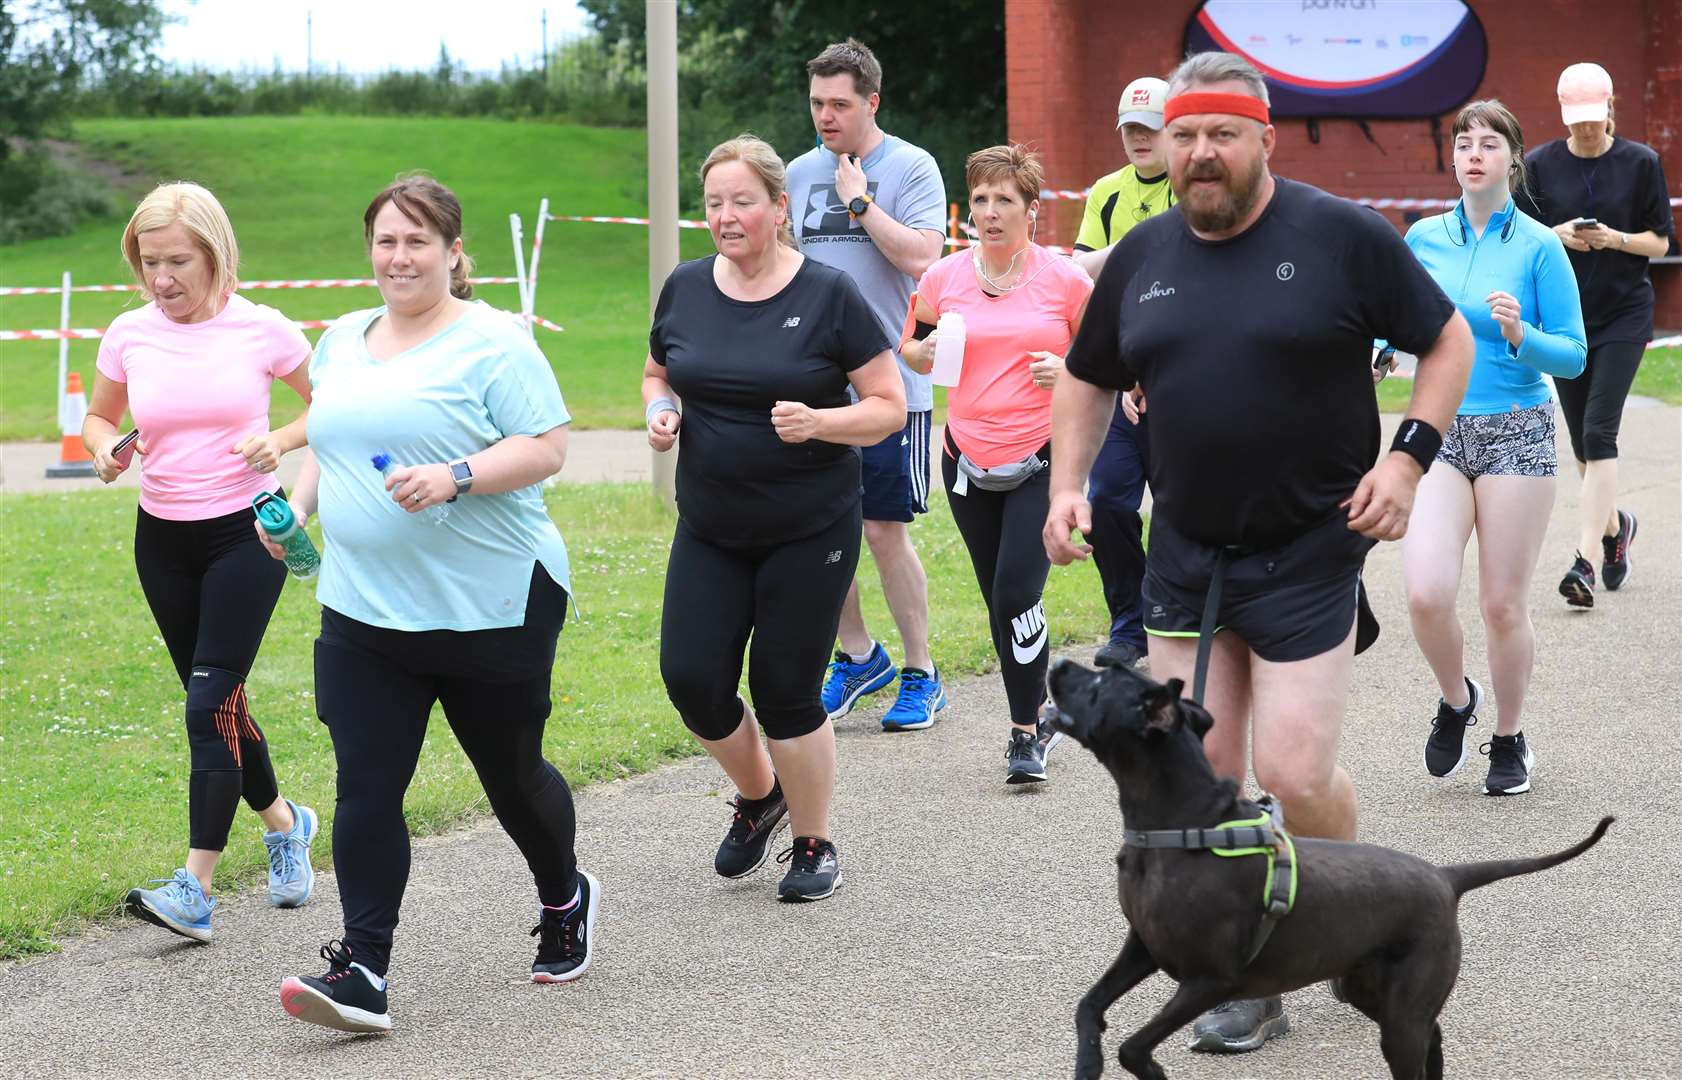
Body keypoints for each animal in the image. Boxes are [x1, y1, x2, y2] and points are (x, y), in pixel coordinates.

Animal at [1049, 656, 1614, 1076]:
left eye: (1099, 684)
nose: (1057, 663)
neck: (1182, 823)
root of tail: (1445, 877)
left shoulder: (1210, 979)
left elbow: (1134, 1046)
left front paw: (1149, 1071)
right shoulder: (1143, 945)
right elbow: (1088, 1006)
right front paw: (1087, 1062)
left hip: (1402, 1010)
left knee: (1418, 1047)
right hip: (1375, 991)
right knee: (1434, 1036)